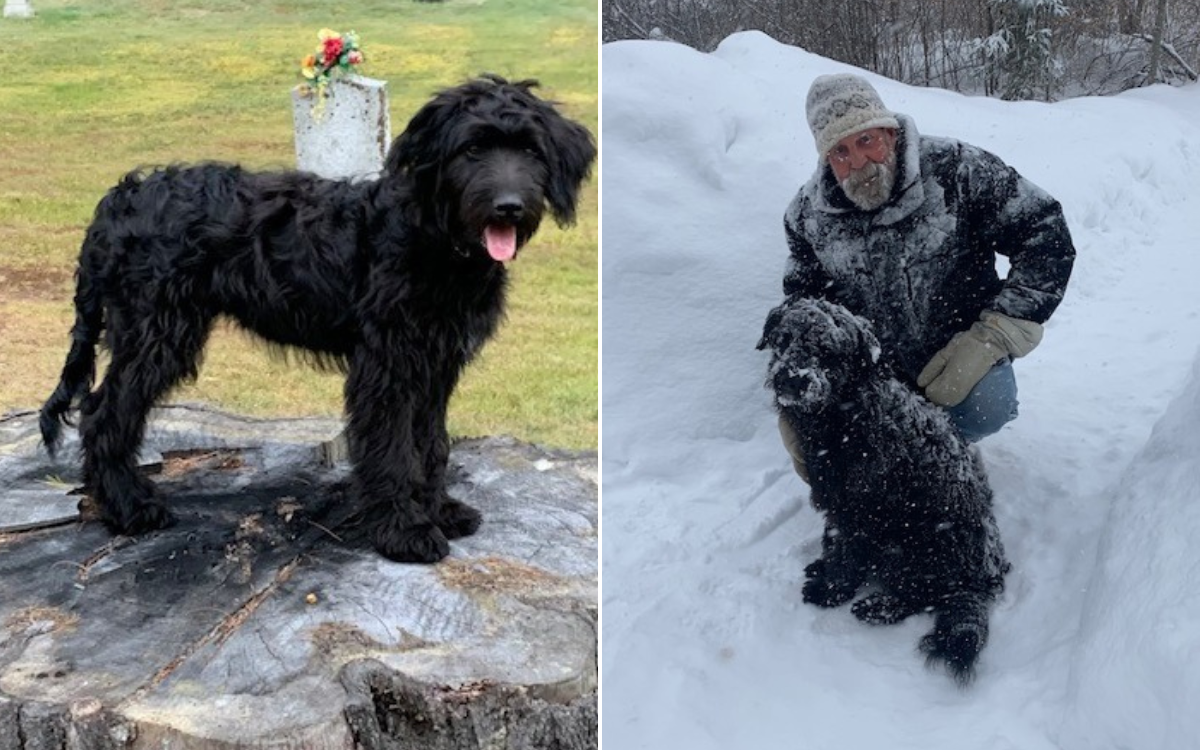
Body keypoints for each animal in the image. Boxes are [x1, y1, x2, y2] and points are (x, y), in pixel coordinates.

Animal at [41, 76, 595, 561]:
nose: (509, 207)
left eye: (531, 151)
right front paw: (405, 531)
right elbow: (394, 448)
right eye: (472, 150)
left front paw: (439, 510)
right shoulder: (387, 366)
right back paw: (130, 508)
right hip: (156, 332)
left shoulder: (435, 365)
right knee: (103, 414)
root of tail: (121, 199)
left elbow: (432, 443)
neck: (433, 238)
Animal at [758, 295, 1012, 681]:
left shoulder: (862, 508)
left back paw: (880, 606)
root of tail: (979, 580)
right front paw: (823, 565)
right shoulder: (835, 503)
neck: (845, 414)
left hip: (915, 545)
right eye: (784, 339)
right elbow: (833, 540)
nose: (792, 380)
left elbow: (847, 553)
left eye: (827, 350)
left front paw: (831, 589)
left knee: (923, 594)